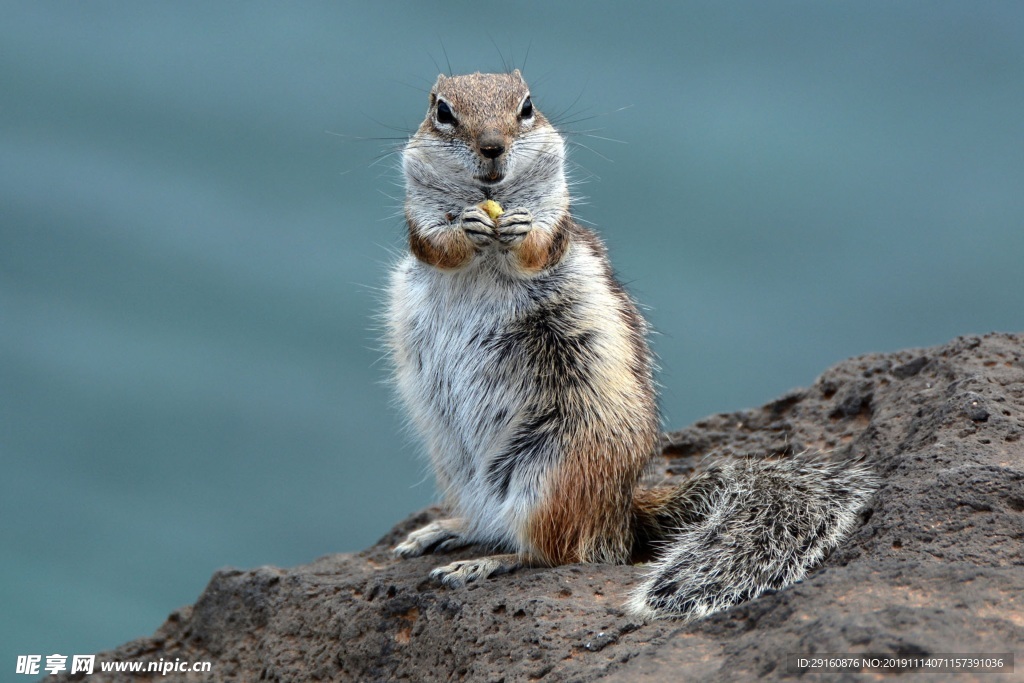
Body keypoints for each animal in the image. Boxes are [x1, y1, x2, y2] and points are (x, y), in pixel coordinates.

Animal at [387, 70, 876, 618]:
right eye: (442, 111)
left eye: (527, 107)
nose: (492, 147)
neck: (492, 202)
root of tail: (620, 515)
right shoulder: (419, 217)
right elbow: (436, 244)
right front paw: (465, 228)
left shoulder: (556, 221)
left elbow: (539, 245)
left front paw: (518, 229)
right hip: (458, 466)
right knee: (496, 525)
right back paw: (445, 532)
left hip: (551, 474)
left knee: (555, 552)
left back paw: (485, 563)